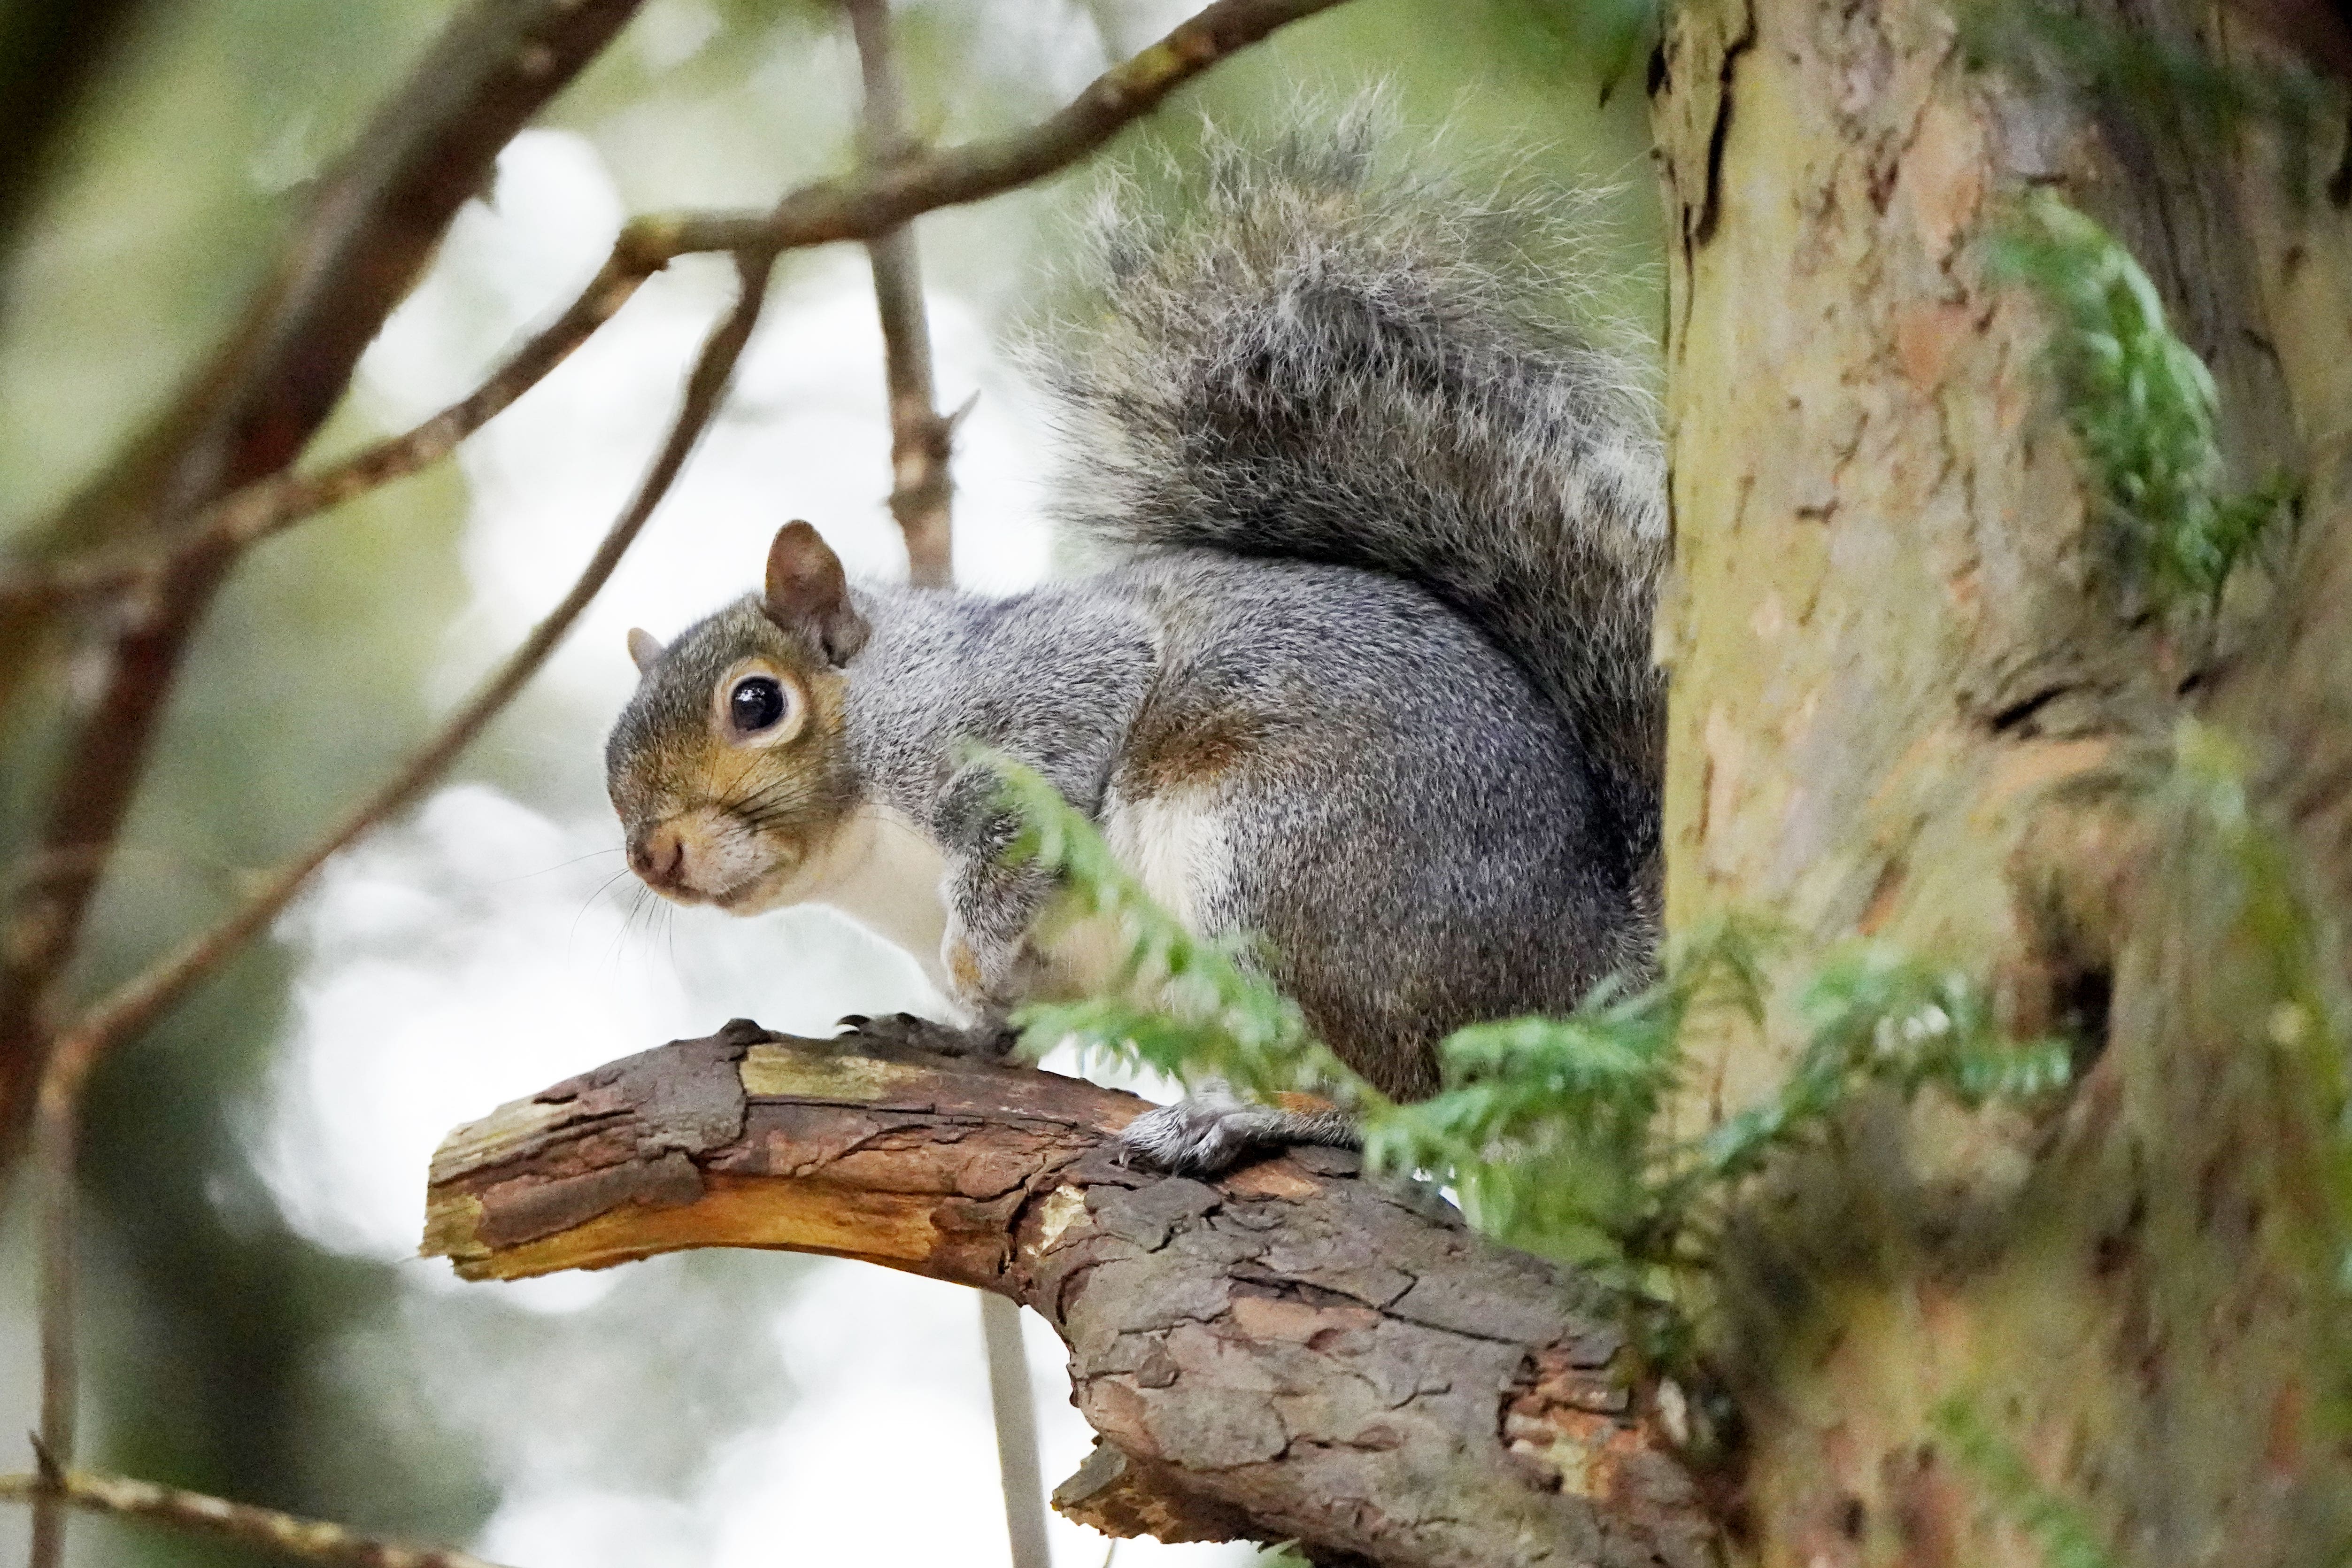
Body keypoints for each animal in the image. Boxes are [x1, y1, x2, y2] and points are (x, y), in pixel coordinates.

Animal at [607, 108, 1674, 1175]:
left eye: (756, 702)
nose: (652, 854)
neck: (868, 859)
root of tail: (1586, 957)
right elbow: (1005, 1023)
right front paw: (947, 1029)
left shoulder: (1028, 702)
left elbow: (1022, 822)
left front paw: (969, 958)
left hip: (1292, 867)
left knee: (1402, 1089)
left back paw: (1258, 1115)